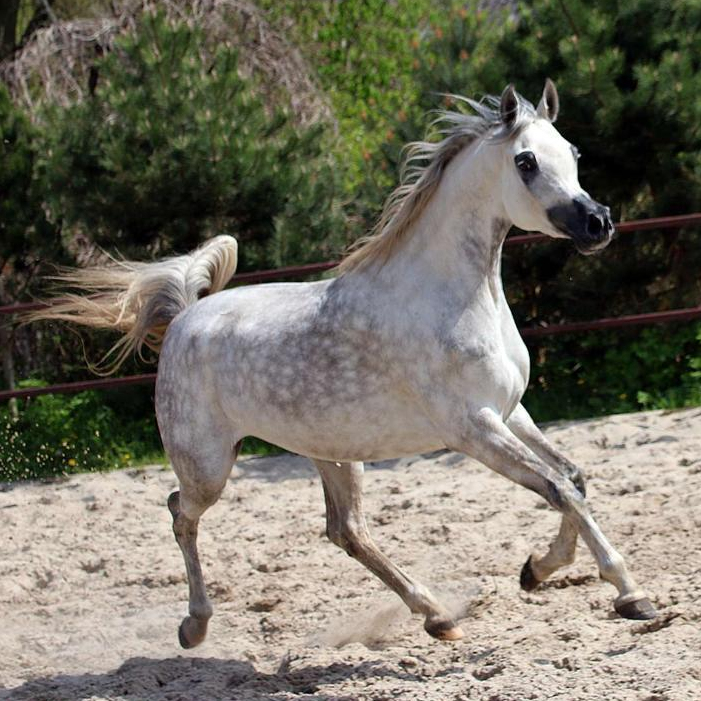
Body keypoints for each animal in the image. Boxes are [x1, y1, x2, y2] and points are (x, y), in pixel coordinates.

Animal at [32, 80, 657, 648]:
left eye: (573, 153)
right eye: (525, 161)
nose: (598, 222)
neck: (450, 296)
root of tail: (185, 317)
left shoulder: (511, 411)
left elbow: (573, 478)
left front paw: (537, 569)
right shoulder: (472, 428)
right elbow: (558, 487)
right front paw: (630, 594)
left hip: (332, 451)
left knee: (345, 531)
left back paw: (437, 616)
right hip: (208, 464)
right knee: (181, 513)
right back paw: (195, 627)